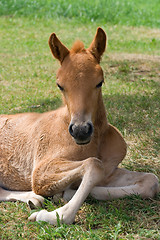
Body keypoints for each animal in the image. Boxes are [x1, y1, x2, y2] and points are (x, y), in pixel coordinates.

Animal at [0, 28, 159, 225]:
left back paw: (35, 199)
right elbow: (93, 164)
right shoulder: (41, 173)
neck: (95, 142)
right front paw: (54, 215)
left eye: (100, 82)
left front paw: (66, 193)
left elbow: (150, 181)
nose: (80, 131)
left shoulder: (110, 171)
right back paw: (35, 198)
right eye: (59, 85)